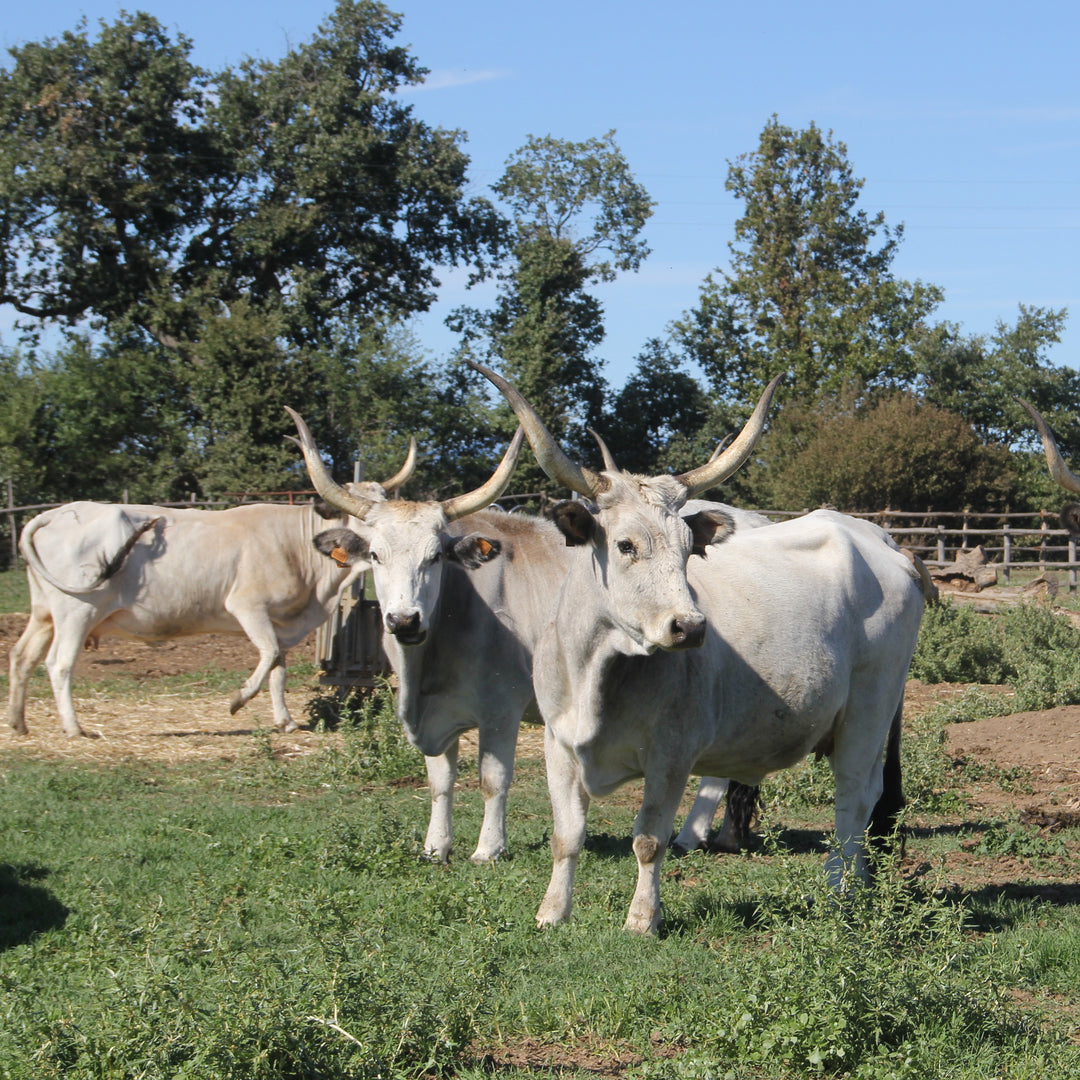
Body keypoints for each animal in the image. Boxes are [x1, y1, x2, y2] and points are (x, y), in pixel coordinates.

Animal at [470, 358, 928, 933]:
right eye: (625, 545)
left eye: (690, 548)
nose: (689, 627)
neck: (598, 670)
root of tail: (882, 541)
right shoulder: (559, 742)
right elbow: (566, 835)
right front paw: (553, 912)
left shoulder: (672, 752)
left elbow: (648, 840)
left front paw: (642, 919)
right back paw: (861, 883)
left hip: (870, 708)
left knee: (854, 797)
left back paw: (837, 893)